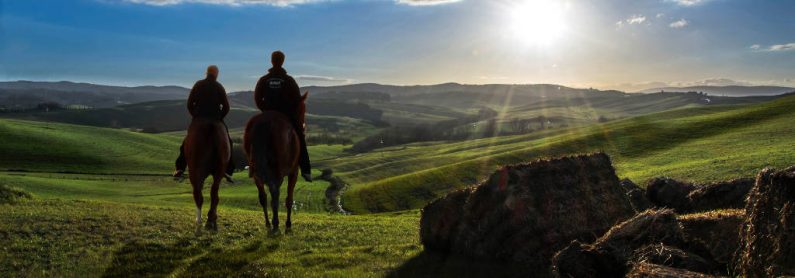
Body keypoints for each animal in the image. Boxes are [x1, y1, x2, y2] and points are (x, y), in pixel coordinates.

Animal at [243, 92, 308, 231]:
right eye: (303, 109)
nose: (303, 126)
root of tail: (265, 121)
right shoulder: (293, 172)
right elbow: (289, 199)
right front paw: (288, 224)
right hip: (279, 171)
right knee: (275, 193)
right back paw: (276, 224)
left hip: (256, 170)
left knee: (263, 197)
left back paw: (268, 224)